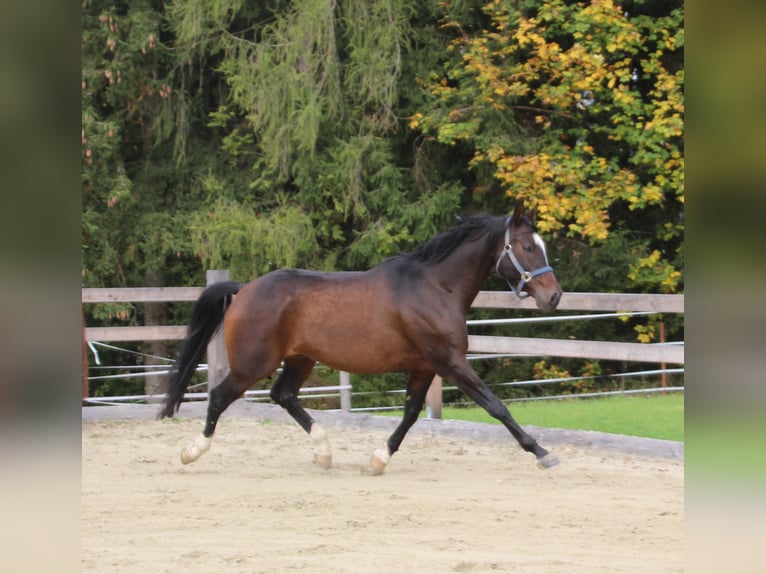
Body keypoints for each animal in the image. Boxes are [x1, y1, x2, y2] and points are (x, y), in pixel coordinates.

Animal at [159, 205, 564, 474]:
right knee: (219, 397)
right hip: (252, 364)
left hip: (300, 359)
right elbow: (496, 406)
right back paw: (191, 452)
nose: (554, 296)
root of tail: (244, 290)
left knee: (283, 395)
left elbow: (411, 413)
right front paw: (543, 452)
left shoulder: (424, 366)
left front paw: (379, 459)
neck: (434, 287)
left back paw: (323, 452)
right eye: (527, 247)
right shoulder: (450, 362)